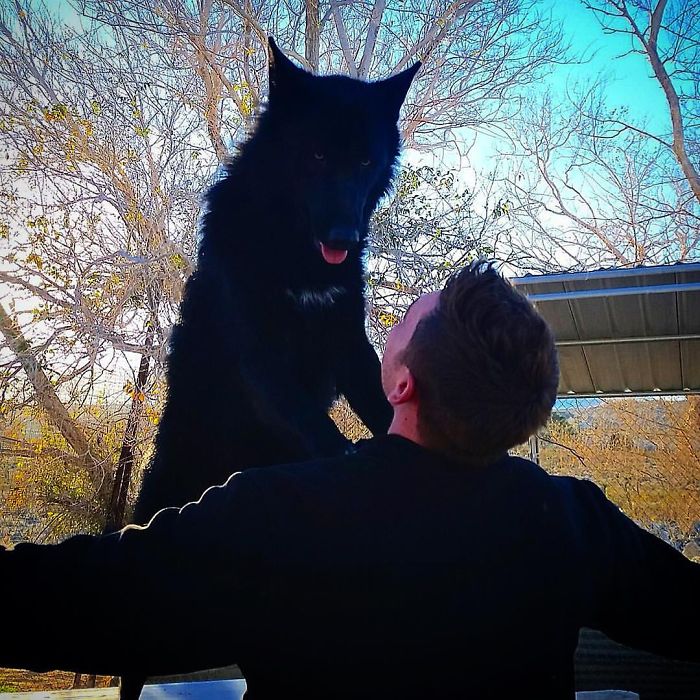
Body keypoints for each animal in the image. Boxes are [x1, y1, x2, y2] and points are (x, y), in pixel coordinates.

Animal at [132, 39, 420, 524]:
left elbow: (379, 405)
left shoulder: (348, 342)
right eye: (318, 155)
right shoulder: (259, 357)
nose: (344, 237)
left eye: (365, 161)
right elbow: (316, 427)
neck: (296, 256)